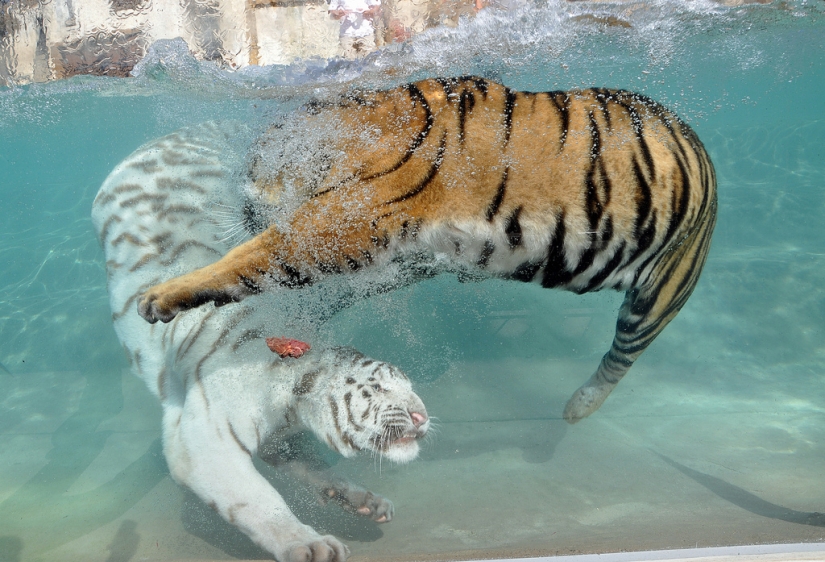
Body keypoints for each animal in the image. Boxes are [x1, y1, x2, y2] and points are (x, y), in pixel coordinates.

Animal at [91, 122, 430, 562]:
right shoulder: (204, 442)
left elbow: (313, 468)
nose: (423, 417)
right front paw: (309, 543)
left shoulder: (283, 438)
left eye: (410, 385)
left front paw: (363, 501)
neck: (293, 400)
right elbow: (260, 501)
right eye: (381, 389)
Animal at [136, 76, 717, 423]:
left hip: (662, 291)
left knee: (621, 355)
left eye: (252, 168)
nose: (242, 210)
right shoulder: (406, 254)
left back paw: (578, 407)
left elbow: (250, 259)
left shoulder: (345, 222)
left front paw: (161, 297)